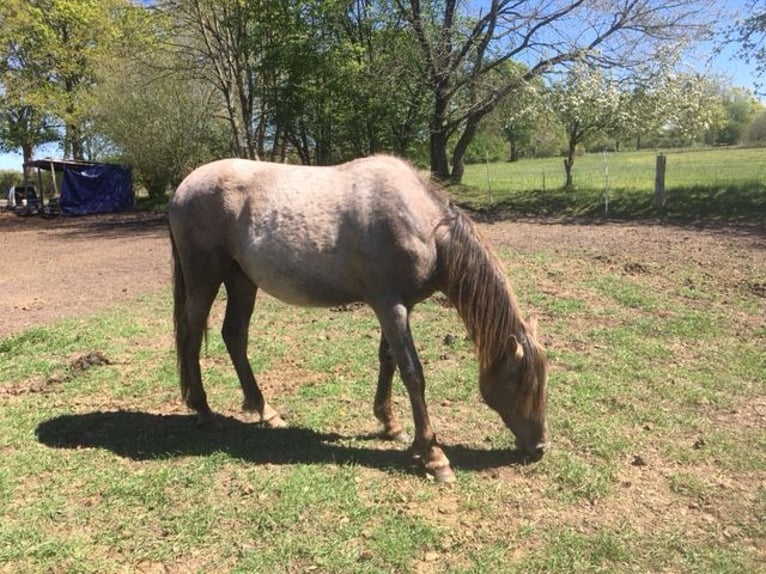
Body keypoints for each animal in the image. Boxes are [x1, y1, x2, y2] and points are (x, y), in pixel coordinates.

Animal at [168, 155, 548, 483]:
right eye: (521, 383)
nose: (540, 447)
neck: (422, 225)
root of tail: (183, 188)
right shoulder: (389, 304)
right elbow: (413, 373)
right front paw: (434, 454)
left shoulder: (399, 305)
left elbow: (389, 359)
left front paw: (392, 425)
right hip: (204, 278)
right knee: (191, 333)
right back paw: (203, 410)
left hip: (241, 279)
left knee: (234, 335)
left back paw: (264, 409)